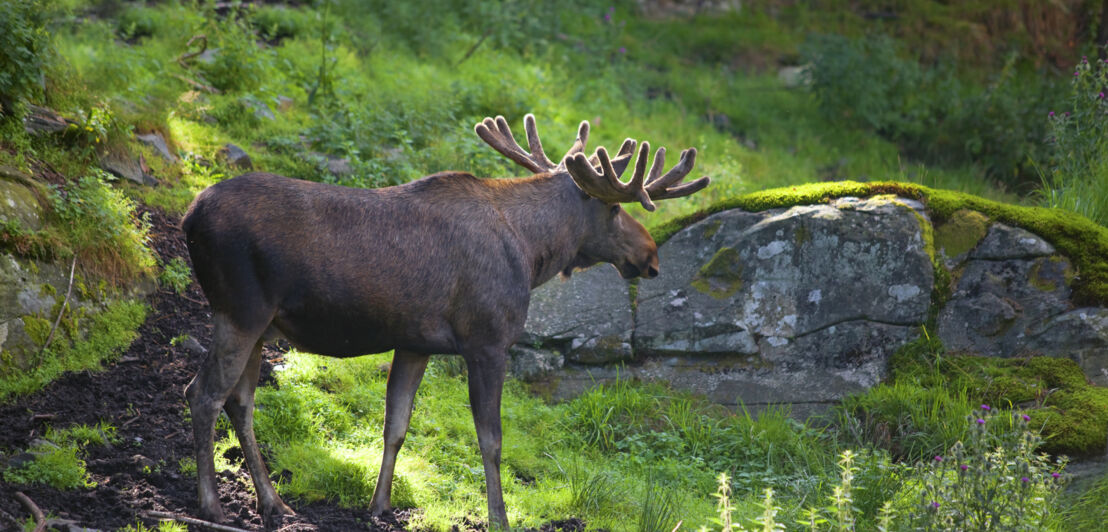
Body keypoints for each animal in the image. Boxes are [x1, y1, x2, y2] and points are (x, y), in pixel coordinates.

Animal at [181, 113, 709, 527]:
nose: (651, 255)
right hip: (240, 309)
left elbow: (396, 425)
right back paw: (212, 506)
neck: (531, 254)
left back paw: (273, 504)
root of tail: (188, 216)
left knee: (240, 401)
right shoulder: (488, 340)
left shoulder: (415, 343)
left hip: (260, 325)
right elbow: (491, 440)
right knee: (203, 393)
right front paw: (500, 518)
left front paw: (379, 506)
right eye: (616, 207)